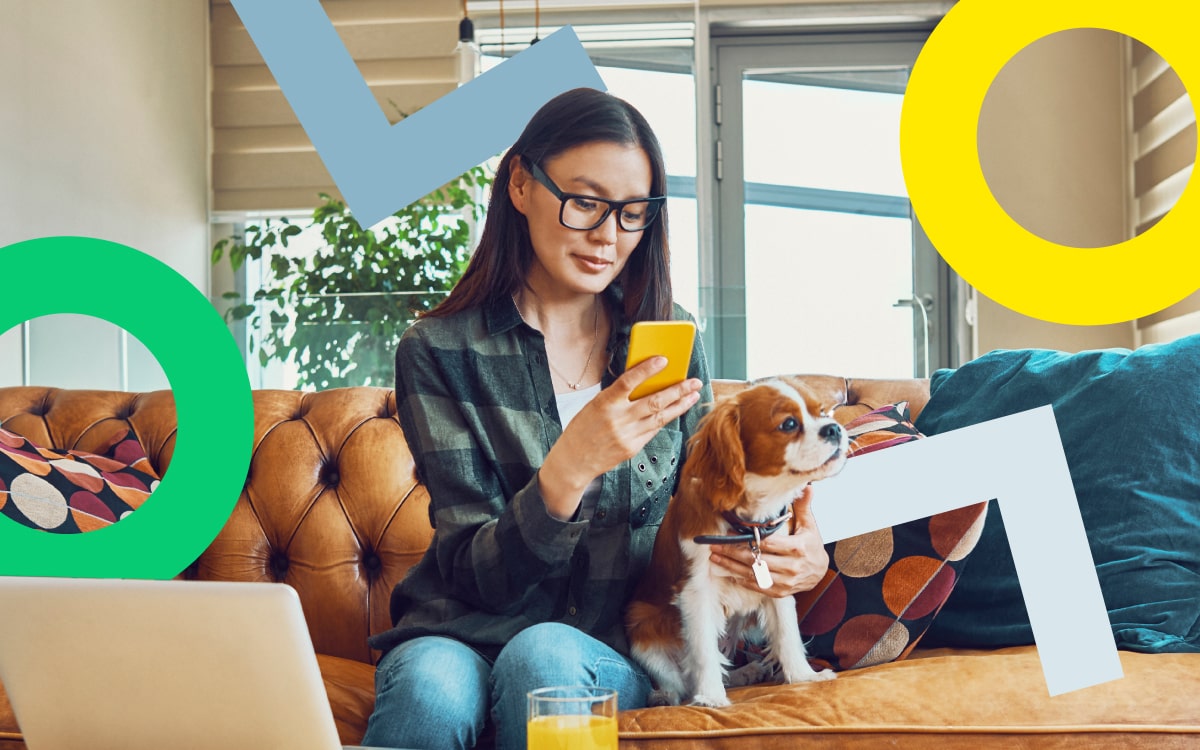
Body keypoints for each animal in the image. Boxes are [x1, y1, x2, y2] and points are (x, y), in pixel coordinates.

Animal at [624, 379, 849, 705]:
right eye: (789, 424)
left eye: (822, 412)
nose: (834, 428)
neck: (747, 523)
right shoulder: (696, 591)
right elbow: (704, 652)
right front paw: (710, 698)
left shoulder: (778, 579)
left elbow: (787, 632)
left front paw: (803, 676)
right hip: (643, 628)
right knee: (680, 684)